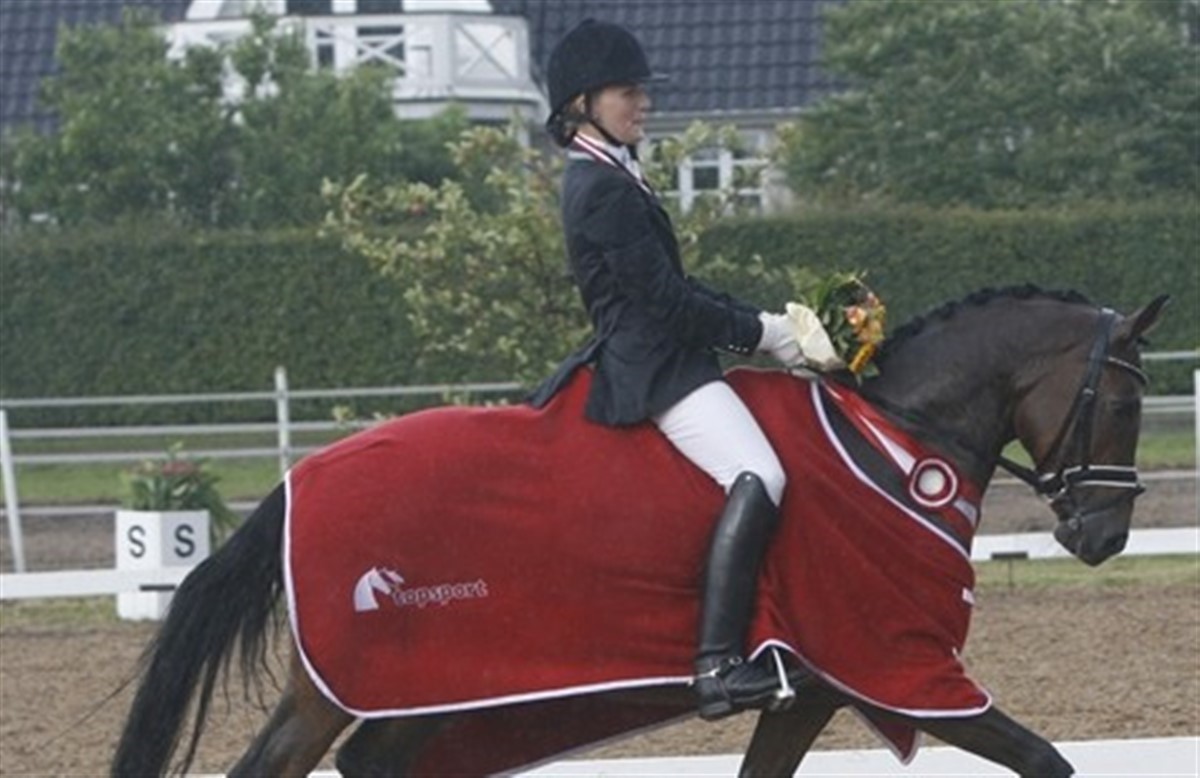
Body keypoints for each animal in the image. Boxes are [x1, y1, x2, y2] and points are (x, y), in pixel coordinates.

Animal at [111, 286, 1168, 777]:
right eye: (1122, 402)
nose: (1104, 536)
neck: (892, 443)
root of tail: (299, 481)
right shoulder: (897, 662)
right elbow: (1045, 758)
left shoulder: (812, 691)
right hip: (356, 682)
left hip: (428, 689)